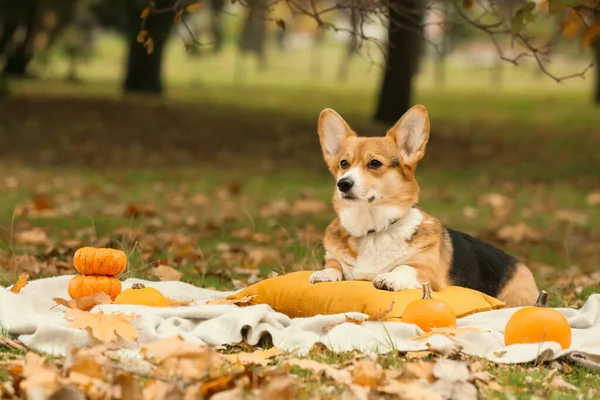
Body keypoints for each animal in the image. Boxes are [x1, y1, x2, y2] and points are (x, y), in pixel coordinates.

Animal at [310, 105, 540, 306]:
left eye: (374, 163)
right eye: (343, 164)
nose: (343, 184)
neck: (372, 231)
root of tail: (521, 265)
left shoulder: (428, 272)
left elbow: (405, 268)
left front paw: (390, 278)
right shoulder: (335, 259)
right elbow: (333, 266)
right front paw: (323, 274)